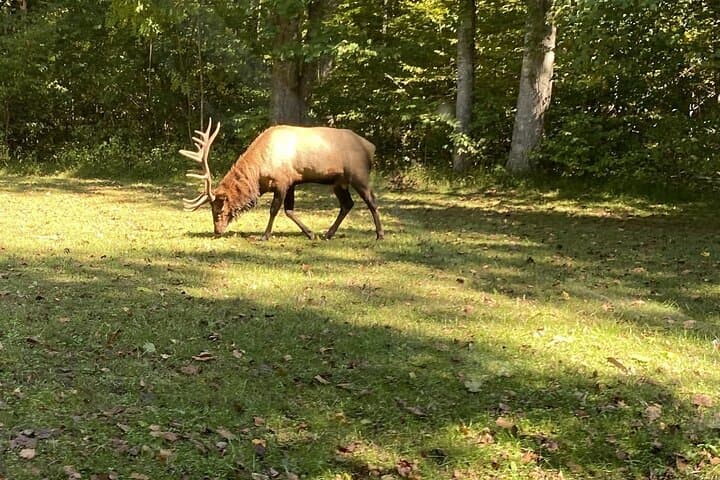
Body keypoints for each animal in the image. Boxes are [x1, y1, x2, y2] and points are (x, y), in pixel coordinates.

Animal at [181, 119, 384, 241]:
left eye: (218, 210)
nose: (217, 230)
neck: (258, 176)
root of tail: (371, 147)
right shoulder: (292, 181)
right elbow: (289, 210)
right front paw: (311, 234)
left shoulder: (282, 182)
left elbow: (274, 209)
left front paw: (265, 235)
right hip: (339, 182)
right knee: (347, 204)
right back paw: (328, 233)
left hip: (359, 174)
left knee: (372, 201)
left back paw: (380, 234)